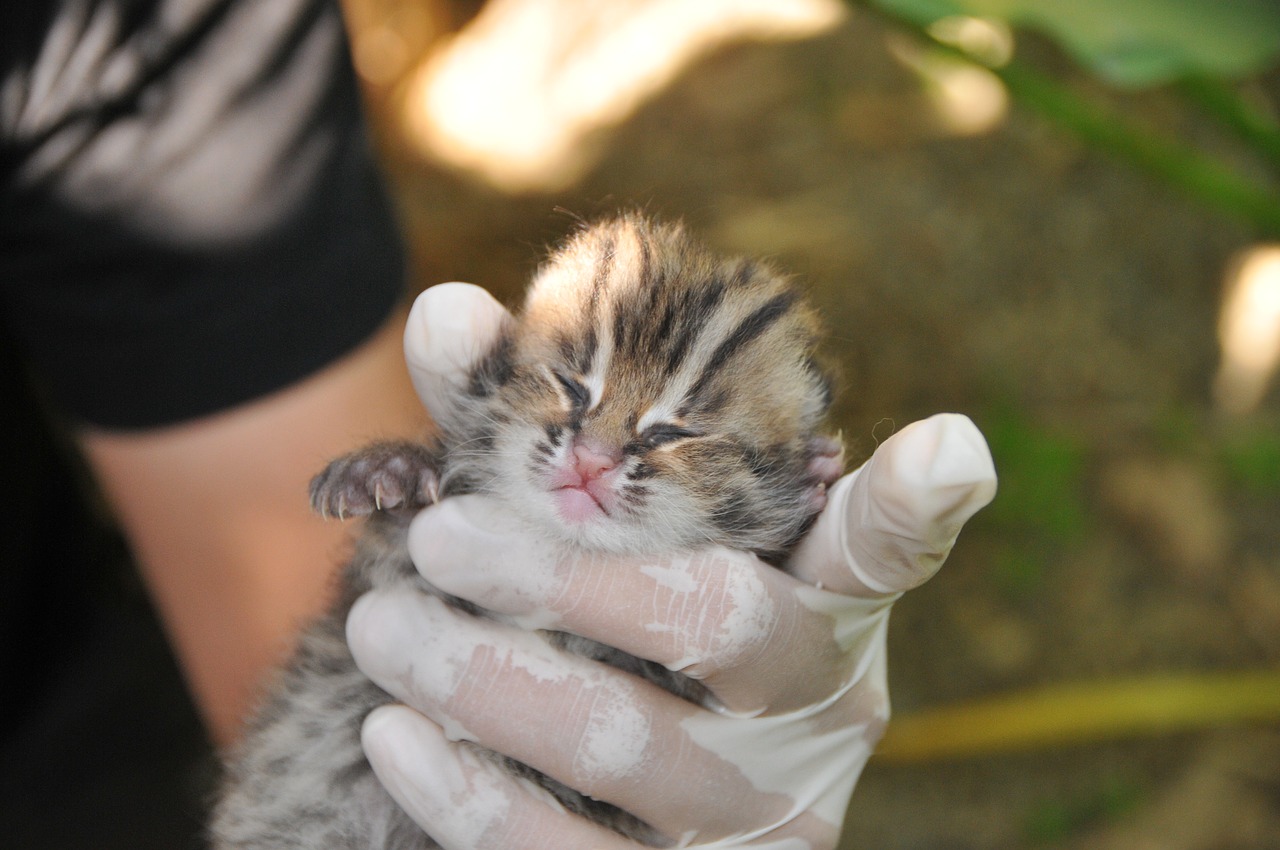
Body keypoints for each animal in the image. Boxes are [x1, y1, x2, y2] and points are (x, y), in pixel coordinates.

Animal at [212, 216, 839, 844]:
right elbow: (393, 551)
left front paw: (809, 483)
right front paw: (388, 472)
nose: (592, 459)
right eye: (571, 385)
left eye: (673, 433)